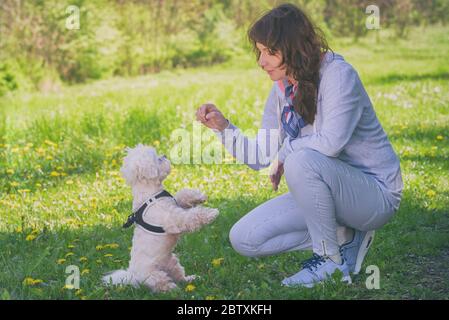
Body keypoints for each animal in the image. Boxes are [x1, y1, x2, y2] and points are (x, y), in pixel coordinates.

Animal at [103, 144, 219, 292]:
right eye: (157, 159)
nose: (164, 155)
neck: (151, 193)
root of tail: (133, 276)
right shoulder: (173, 219)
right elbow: (191, 217)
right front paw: (211, 213)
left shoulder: (175, 203)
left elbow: (182, 195)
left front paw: (199, 197)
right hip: (154, 275)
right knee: (162, 283)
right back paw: (172, 289)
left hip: (173, 262)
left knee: (179, 276)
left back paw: (190, 279)